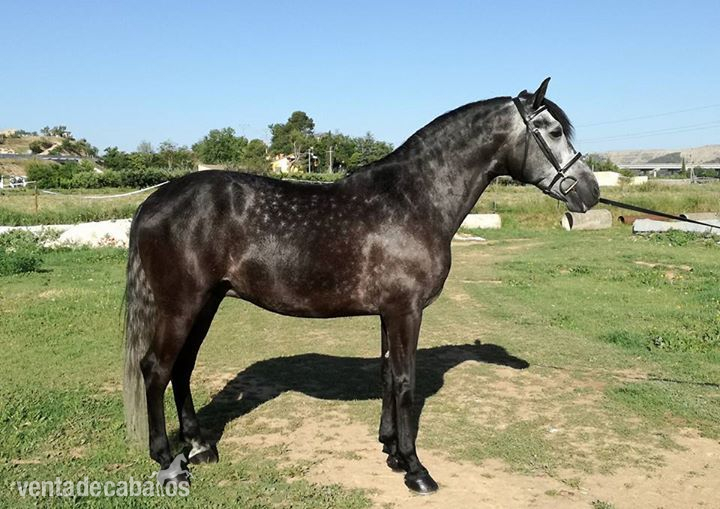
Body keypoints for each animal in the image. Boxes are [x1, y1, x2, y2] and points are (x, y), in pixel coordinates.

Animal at [123, 78, 600, 494]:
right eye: (554, 131)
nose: (590, 192)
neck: (413, 200)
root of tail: (154, 200)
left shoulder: (390, 312)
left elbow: (387, 374)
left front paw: (391, 451)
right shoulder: (407, 310)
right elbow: (405, 380)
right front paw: (416, 469)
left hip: (206, 302)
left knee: (182, 368)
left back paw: (200, 446)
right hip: (181, 305)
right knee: (156, 369)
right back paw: (166, 458)